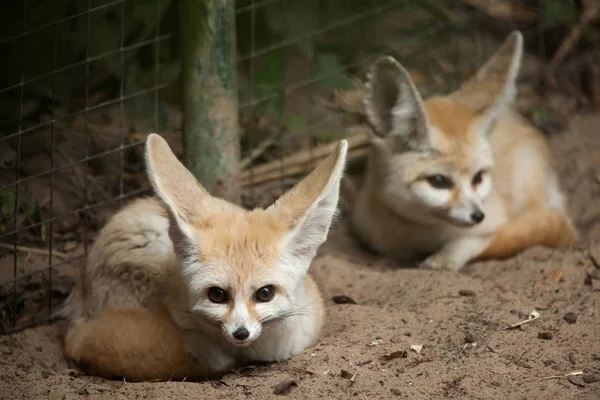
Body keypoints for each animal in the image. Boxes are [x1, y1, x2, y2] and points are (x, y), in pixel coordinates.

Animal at [352, 30, 576, 268]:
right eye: (438, 181)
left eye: (478, 178)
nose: (478, 216)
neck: (421, 235)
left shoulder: (496, 222)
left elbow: (479, 239)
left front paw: (444, 258)